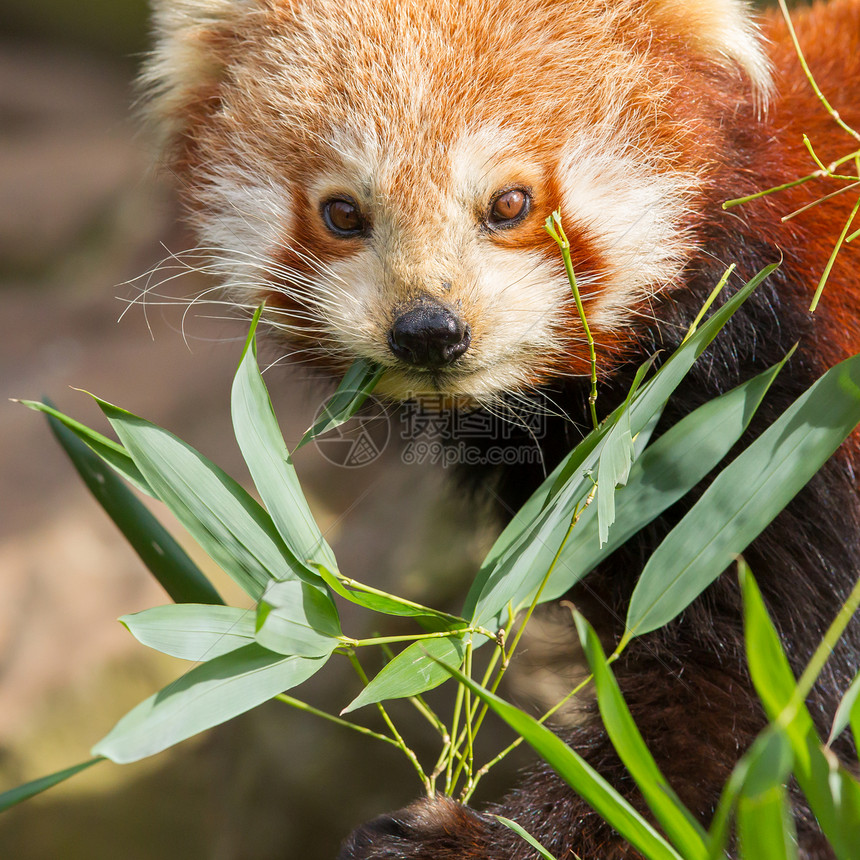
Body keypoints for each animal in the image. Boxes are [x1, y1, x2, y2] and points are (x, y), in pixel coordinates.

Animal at [144, 0, 856, 856]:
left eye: (509, 203)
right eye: (342, 213)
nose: (427, 330)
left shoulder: (784, 433)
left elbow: (749, 713)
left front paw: (481, 840)